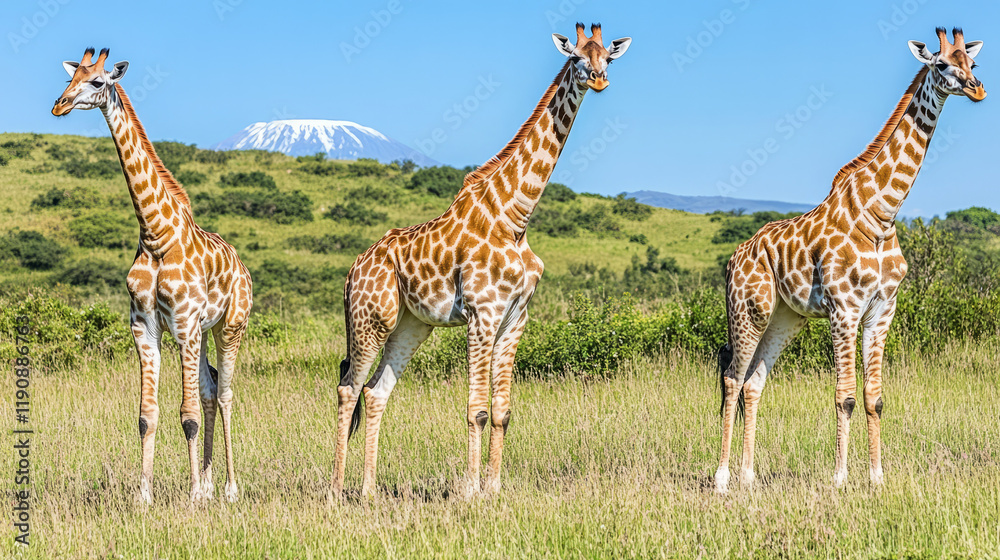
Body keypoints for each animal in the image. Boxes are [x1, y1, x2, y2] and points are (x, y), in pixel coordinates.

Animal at [52, 48, 254, 504]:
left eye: (97, 82)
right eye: (71, 78)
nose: (59, 105)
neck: (155, 234)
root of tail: (242, 266)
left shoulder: (184, 324)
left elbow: (187, 414)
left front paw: (193, 495)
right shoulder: (145, 327)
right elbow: (148, 414)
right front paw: (144, 494)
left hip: (229, 327)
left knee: (226, 394)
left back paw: (229, 488)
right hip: (201, 334)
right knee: (211, 390)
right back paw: (211, 482)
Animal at [330, 24, 631, 498]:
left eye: (608, 56)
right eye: (576, 57)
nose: (599, 79)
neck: (515, 216)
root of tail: (352, 271)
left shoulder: (515, 317)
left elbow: (503, 411)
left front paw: (493, 487)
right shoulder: (481, 313)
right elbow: (477, 409)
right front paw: (471, 490)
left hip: (411, 325)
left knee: (376, 393)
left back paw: (369, 491)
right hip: (369, 319)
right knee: (348, 389)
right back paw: (335, 491)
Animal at [713, 28, 985, 494]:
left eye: (973, 63)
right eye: (941, 64)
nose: (977, 88)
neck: (882, 213)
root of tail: (733, 260)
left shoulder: (881, 310)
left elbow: (875, 398)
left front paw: (877, 478)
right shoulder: (844, 309)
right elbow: (845, 396)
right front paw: (840, 479)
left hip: (785, 317)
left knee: (754, 381)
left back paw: (748, 477)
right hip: (749, 309)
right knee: (733, 378)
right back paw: (722, 479)